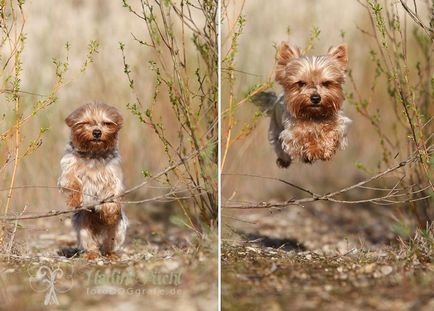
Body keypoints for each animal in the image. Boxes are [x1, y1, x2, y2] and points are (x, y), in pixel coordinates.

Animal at [57, 102, 127, 260]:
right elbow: (72, 182)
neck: (94, 152)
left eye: (106, 123)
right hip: (82, 223)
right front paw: (75, 200)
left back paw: (110, 254)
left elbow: (112, 191)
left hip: (118, 228)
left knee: (109, 242)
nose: (97, 132)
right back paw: (91, 254)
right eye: (86, 123)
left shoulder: (113, 175)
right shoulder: (68, 169)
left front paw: (109, 210)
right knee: (89, 241)